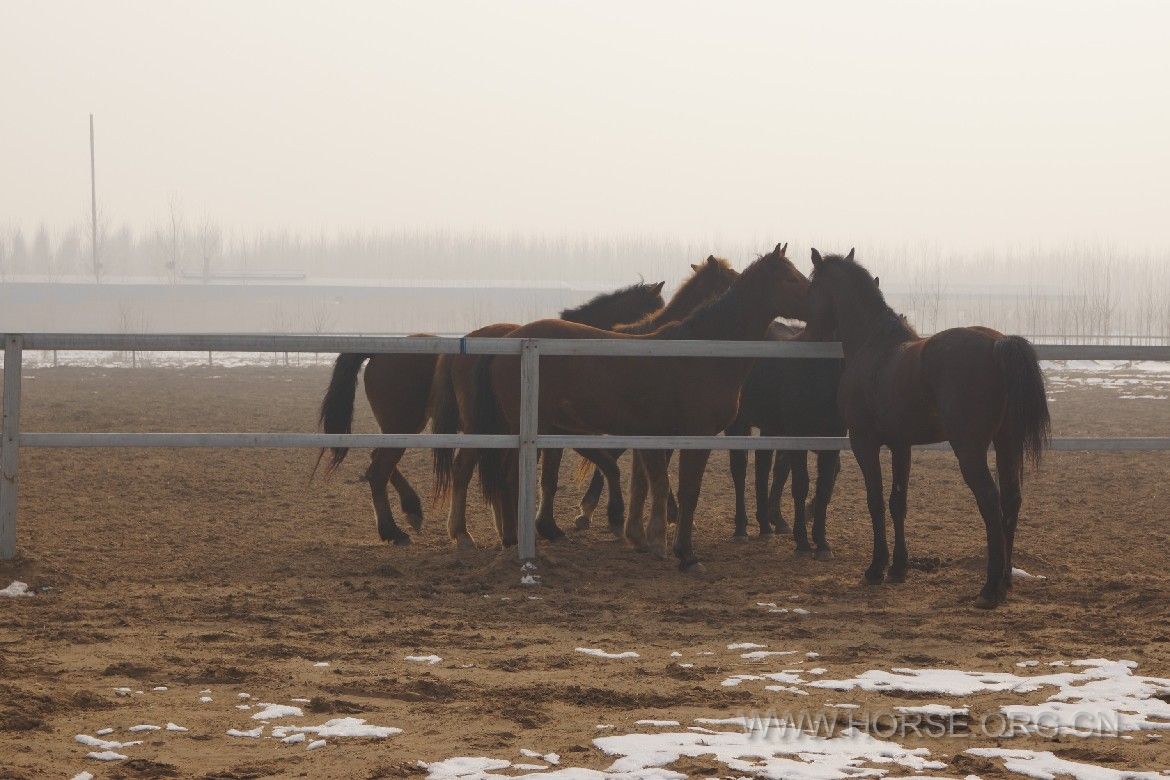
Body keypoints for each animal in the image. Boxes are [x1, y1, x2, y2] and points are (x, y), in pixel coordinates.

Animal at [315, 277, 669, 547]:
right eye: (658, 309)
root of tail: (380, 351)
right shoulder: (559, 431)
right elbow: (560, 475)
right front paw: (550, 525)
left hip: (404, 427)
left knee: (380, 463)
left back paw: (412, 510)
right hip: (406, 425)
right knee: (380, 470)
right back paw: (397, 530)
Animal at [470, 240, 809, 570]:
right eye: (790, 278)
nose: (815, 300)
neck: (703, 352)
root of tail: (512, 339)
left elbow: (648, 483)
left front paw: (647, 537)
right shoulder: (695, 435)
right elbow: (686, 490)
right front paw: (684, 553)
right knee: (512, 479)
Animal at [720, 320, 842, 558]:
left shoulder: (833, 438)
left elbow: (824, 484)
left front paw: (822, 543)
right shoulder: (797, 435)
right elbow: (800, 484)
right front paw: (802, 541)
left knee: (763, 466)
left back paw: (766, 526)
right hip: (740, 422)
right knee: (739, 469)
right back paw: (741, 529)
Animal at [804, 250, 1053, 608]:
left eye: (811, 286)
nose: (809, 333)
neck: (873, 347)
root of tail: (998, 343)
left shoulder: (864, 442)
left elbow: (875, 500)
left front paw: (876, 568)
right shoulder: (900, 445)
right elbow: (897, 502)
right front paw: (898, 568)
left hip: (970, 449)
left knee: (990, 501)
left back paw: (989, 590)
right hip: (1007, 442)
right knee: (1011, 499)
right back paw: (1005, 582)